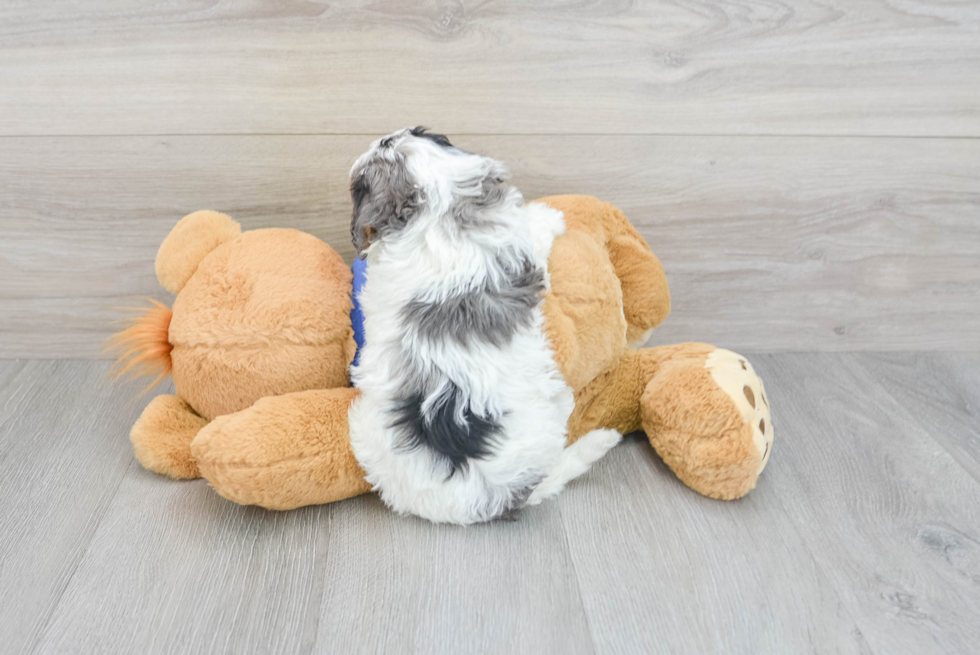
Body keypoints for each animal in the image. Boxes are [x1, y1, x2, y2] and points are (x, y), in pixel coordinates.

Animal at [348, 128, 616, 524]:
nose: (382, 136)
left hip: (365, 428)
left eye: (392, 141)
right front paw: (550, 216)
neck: (433, 210)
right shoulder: (517, 243)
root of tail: (492, 500)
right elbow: (534, 229)